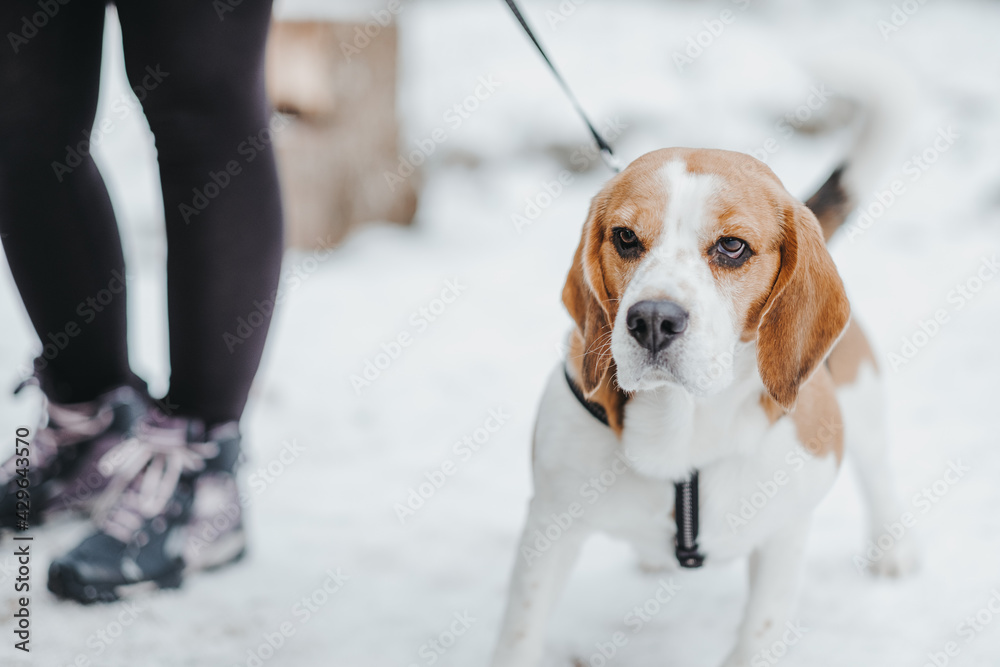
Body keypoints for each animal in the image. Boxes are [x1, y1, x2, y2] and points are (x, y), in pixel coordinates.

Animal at [488, 125, 916, 664]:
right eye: (625, 238)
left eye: (732, 247)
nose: (652, 320)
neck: (681, 422)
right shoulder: (549, 527)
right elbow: (519, 635)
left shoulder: (783, 537)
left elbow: (756, 639)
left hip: (862, 404)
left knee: (878, 473)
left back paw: (892, 551)